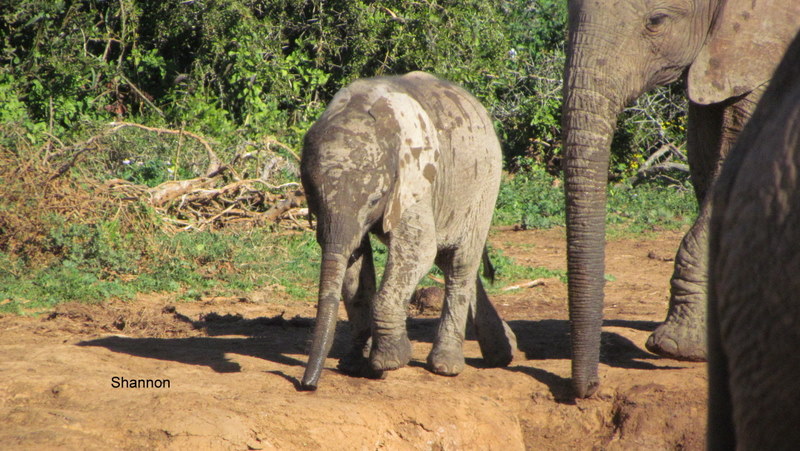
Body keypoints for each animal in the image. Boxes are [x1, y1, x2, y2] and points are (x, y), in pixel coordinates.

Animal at [298, 71, 517, 391]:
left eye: (376, 199)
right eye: (313, 196)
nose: (308, 384)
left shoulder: (414, 177)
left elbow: (419, 249)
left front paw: (389, 361)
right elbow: (354, 263)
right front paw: (355, 365)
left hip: (485, 181)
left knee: (461, 262)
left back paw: (446, 366)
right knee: (450, 260)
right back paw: (503, 354)